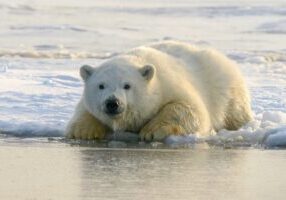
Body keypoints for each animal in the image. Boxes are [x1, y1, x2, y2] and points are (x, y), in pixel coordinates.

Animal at [65, 40, 252, 141]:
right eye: (101, 85)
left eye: (127, 85)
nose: (112, 103)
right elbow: (84, 110)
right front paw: (84, 132)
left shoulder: (170, 84)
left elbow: (190, 109)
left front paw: (151, 132)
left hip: (226, 88)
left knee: (234, 111)